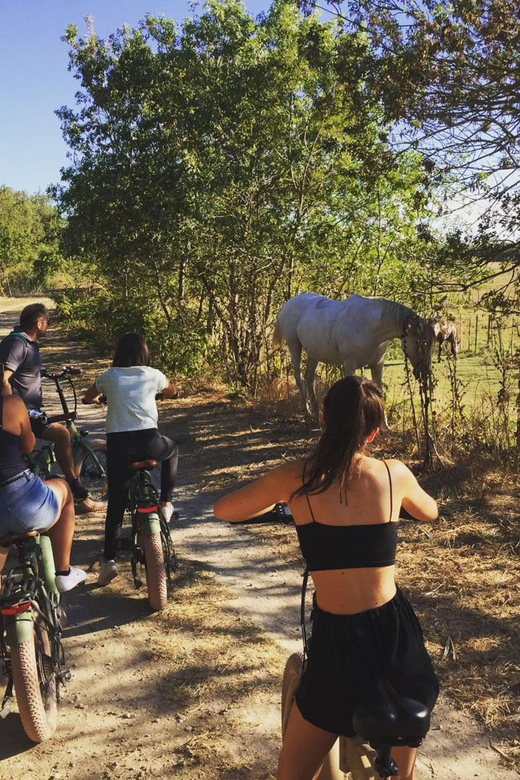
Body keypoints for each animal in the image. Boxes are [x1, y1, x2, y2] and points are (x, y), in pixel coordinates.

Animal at [274, 290, 436, 418]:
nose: (425, 372)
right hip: (295, 347)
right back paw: (305, 410)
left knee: (309, 378)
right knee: (299, 377)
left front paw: (385, 426)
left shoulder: (377, 365)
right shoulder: (350, 364)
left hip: (314, 354)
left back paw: (315, 411)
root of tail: (289, 304)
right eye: (421, 343)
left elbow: (380, 392)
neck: (371, 326)